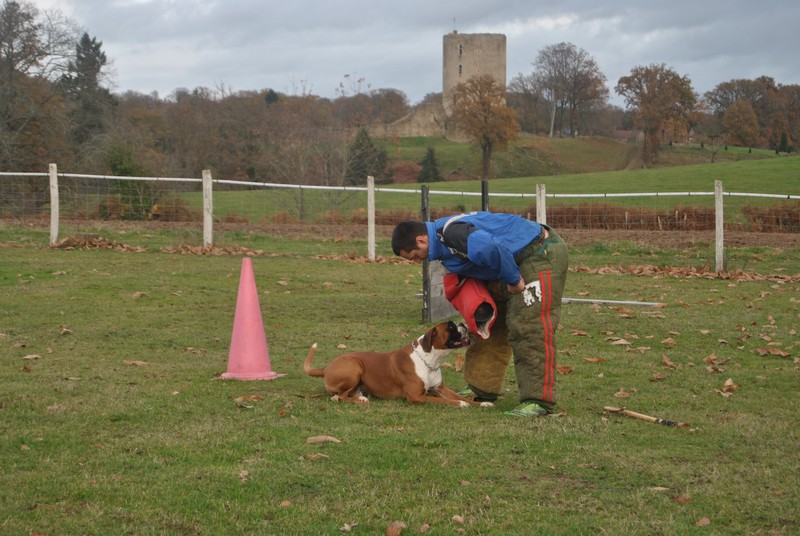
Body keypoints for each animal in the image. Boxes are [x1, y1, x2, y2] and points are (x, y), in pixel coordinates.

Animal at [304, 322, 494, 406]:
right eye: (451, 327)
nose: (462, 323)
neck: (429, 359)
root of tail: (326, 367)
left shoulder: (440, 389)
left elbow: (461, 396)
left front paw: (482, 403)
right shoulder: (417, 396)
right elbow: (445, 401)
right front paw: (461, 404)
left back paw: (361, 396)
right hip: (354, 366)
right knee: (338, 397)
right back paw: (360, 400)